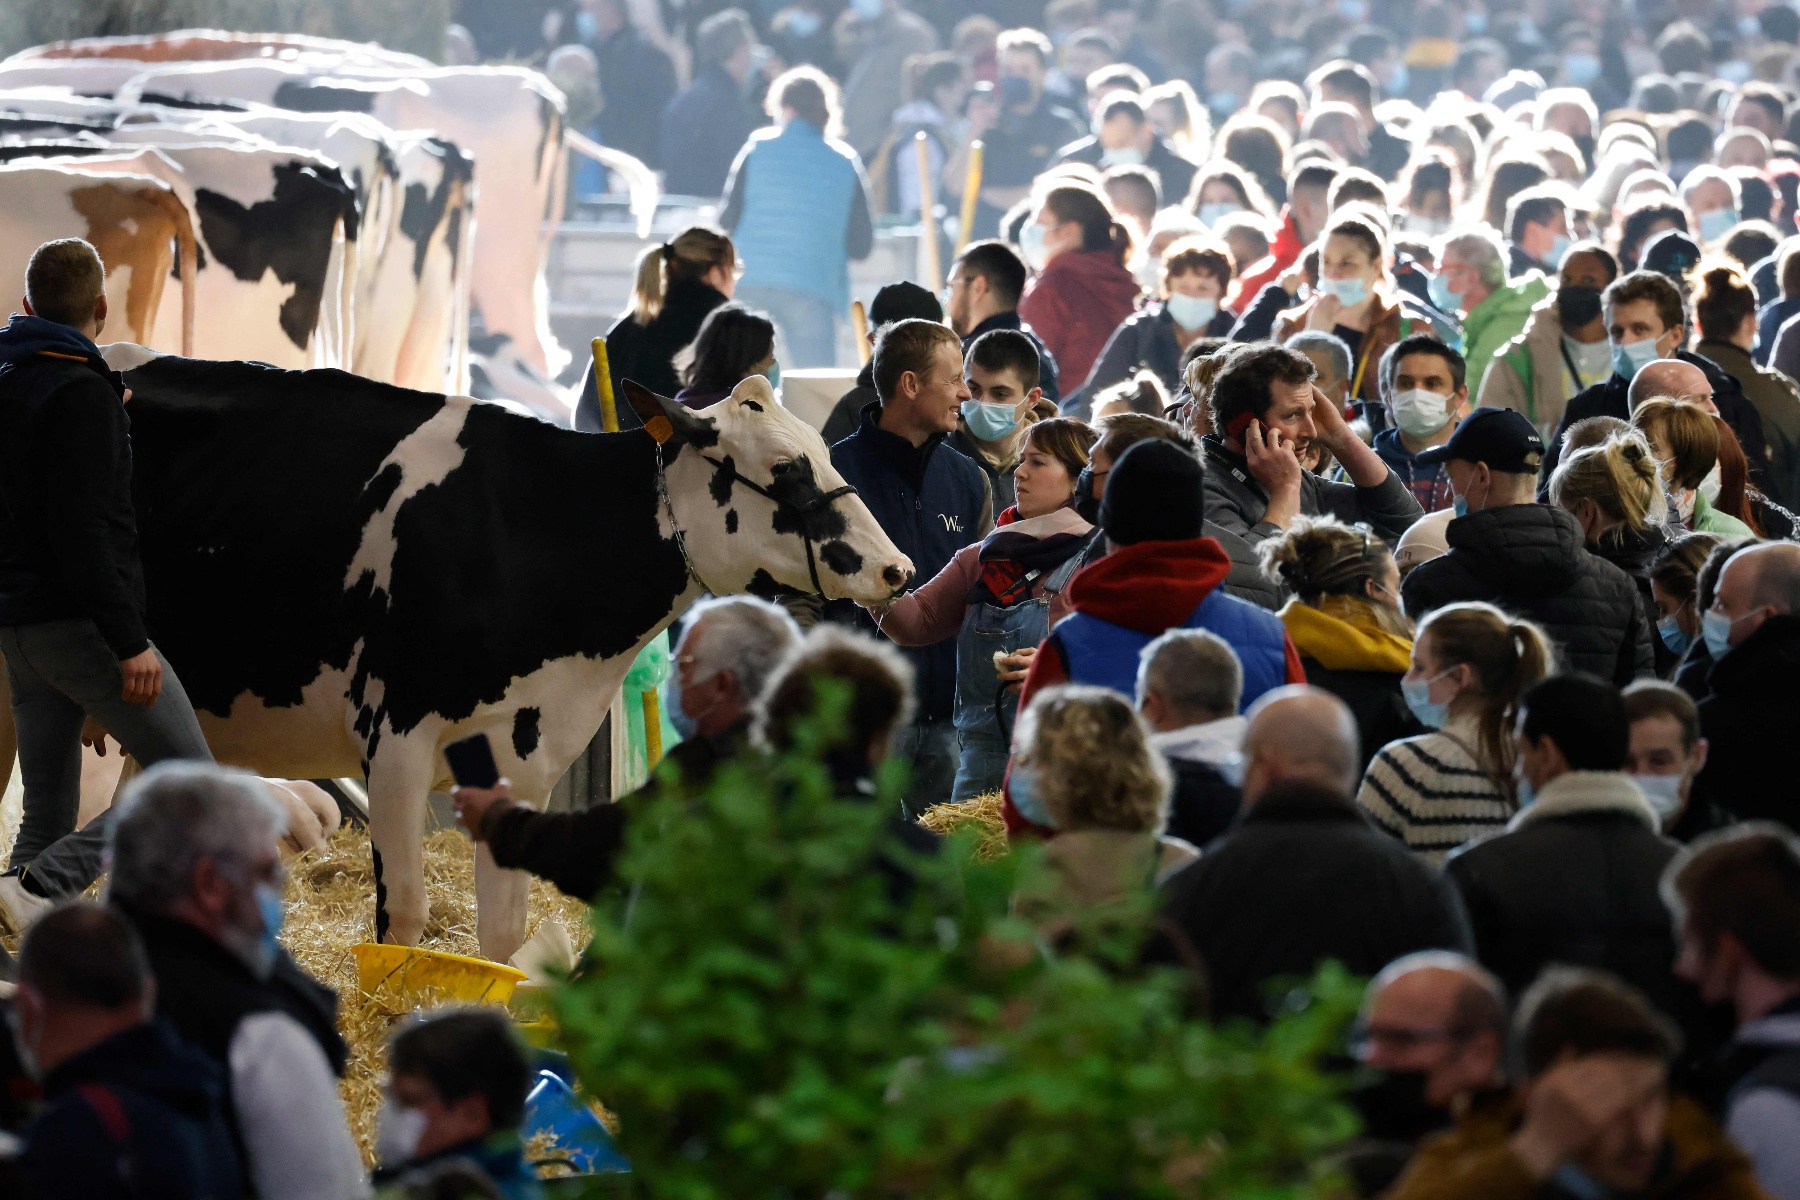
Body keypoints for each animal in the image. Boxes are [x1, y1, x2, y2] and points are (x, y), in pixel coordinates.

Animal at [93, 345, 907, 957]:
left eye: (820, 450)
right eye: (784, 467)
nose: (895, 569)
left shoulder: (528, 751)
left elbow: (506, 934)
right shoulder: (395, 736)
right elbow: (406, 918)